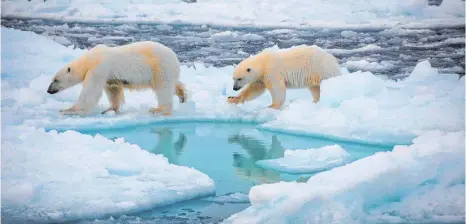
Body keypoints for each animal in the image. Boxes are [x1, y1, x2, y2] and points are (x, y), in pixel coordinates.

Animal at [46, 41, 187, 116]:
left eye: (56, 80)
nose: (49, 90)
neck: (90, 59)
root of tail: (174, 56)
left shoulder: (99, 68)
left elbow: (90, 92)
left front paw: (68, 110)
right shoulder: (109, 76)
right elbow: (113, 90)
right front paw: (109, 109)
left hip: (159, 67)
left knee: (163, 88)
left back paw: (158, 109)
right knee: (172, 84)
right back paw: (182, 95)